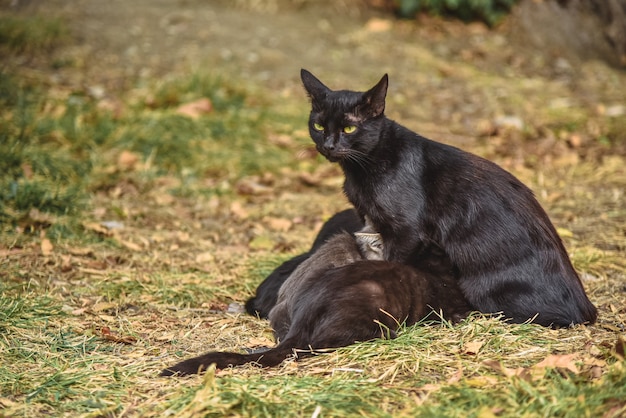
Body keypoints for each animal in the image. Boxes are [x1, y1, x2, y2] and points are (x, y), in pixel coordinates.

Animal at [302, 68, 596, 328]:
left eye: (349, 129)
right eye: (318, 125)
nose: (328, 145)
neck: (364, 166)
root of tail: (586, 309)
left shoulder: (406, 232)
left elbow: (393, 264)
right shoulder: (368, 218)